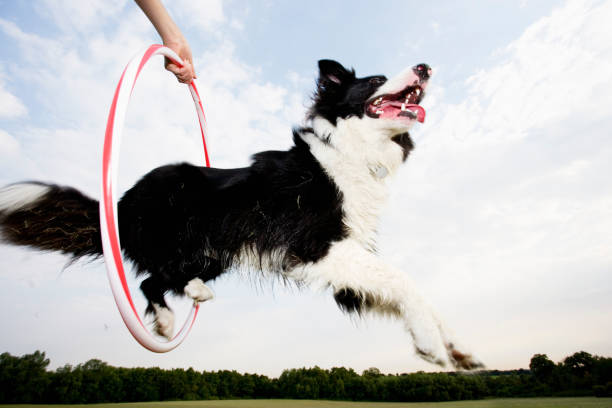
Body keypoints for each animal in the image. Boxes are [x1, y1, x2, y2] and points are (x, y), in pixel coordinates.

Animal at [0, 59, 482, 370]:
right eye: (378, 79)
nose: (425, 67)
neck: (348, 153)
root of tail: (121, 202)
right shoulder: (316, 246)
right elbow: (404, 281)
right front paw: (431, 344)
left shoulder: (346, 270)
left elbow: (400, 291)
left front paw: (454, 347)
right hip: (184, 236)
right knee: (152, 276)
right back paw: (174, 311)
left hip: (213, 255)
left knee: (157, 278)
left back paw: (183, 303)